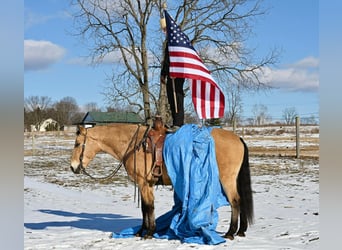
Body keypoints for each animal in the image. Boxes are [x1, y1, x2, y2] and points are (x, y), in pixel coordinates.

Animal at [70, 121, 254, 240]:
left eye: (78, 144)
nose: (73, 167)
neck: (134, 144)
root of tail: (238, 138)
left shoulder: (144, 183)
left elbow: (148, 207)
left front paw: (149, 233)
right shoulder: (146, 185)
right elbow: (145, 208)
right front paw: (141, 231)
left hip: (227, 180)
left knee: (235, 201)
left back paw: (230, 233)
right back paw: (241, 231)